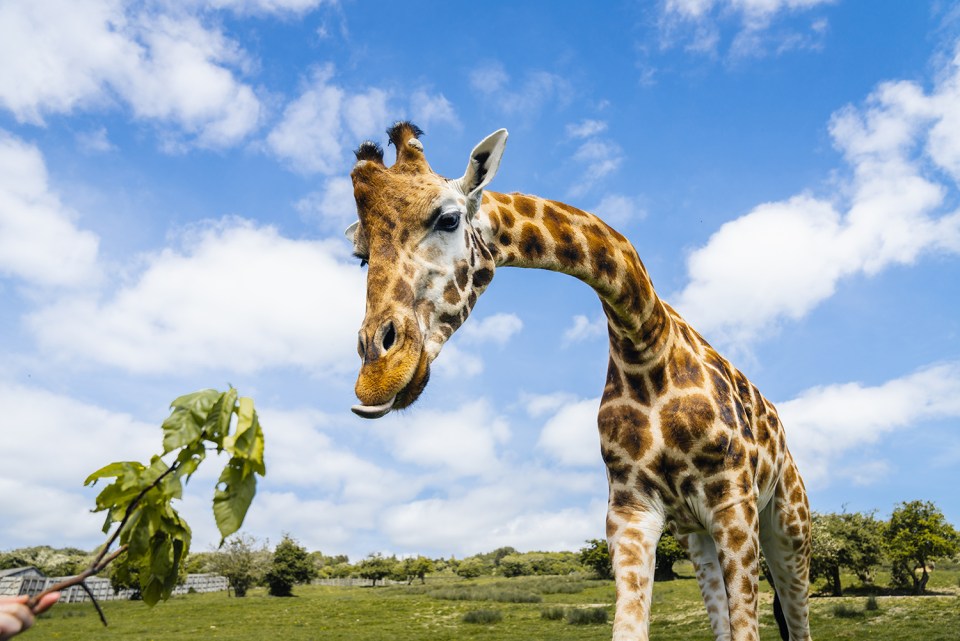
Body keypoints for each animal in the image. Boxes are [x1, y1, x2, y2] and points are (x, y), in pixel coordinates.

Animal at [344, 121, 808, 640]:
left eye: (447, 219)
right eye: (361, 256)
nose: (378, 375)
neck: (646, 345)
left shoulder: (733, 501)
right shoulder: (630, 510)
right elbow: (632, 629)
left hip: (787, 524)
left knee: (797, 617)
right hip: (697, 535)